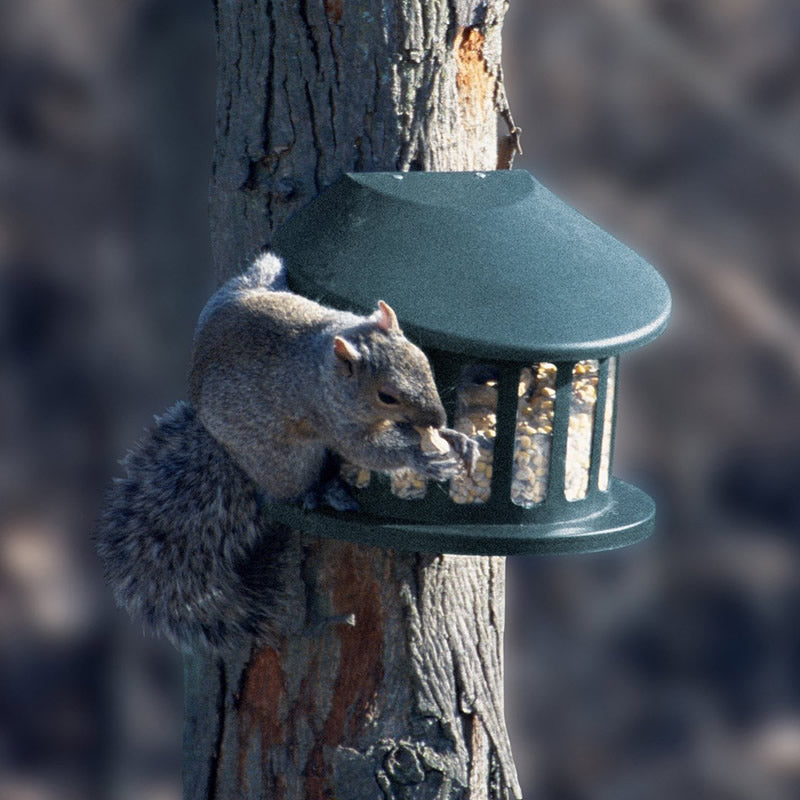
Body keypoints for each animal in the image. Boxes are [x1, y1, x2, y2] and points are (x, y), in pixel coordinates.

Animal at [96, 252, 478, 653]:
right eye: (386, 396)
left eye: (423, 361)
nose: (437, 417)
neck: (324, 366)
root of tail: (225, 447)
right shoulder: (331, 417)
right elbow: (369, 451)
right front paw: (423, 458)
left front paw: (454, 437)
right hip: (285, 460)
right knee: (291, 488)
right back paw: (323, 492)